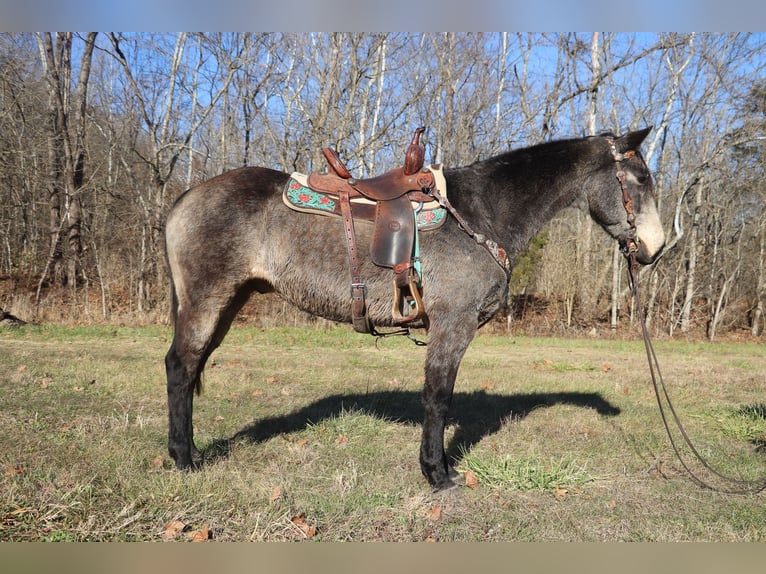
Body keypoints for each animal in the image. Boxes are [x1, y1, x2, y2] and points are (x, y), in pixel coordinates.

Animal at [164, 128, 664, 492]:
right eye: (640, 179)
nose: (654, 249)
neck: (481, 212)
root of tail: (186, 198)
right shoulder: (453, 324)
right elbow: (438, 397)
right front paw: (437, 474)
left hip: (229, 302)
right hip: (208, 300)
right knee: (181, 366)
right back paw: (184, 458)